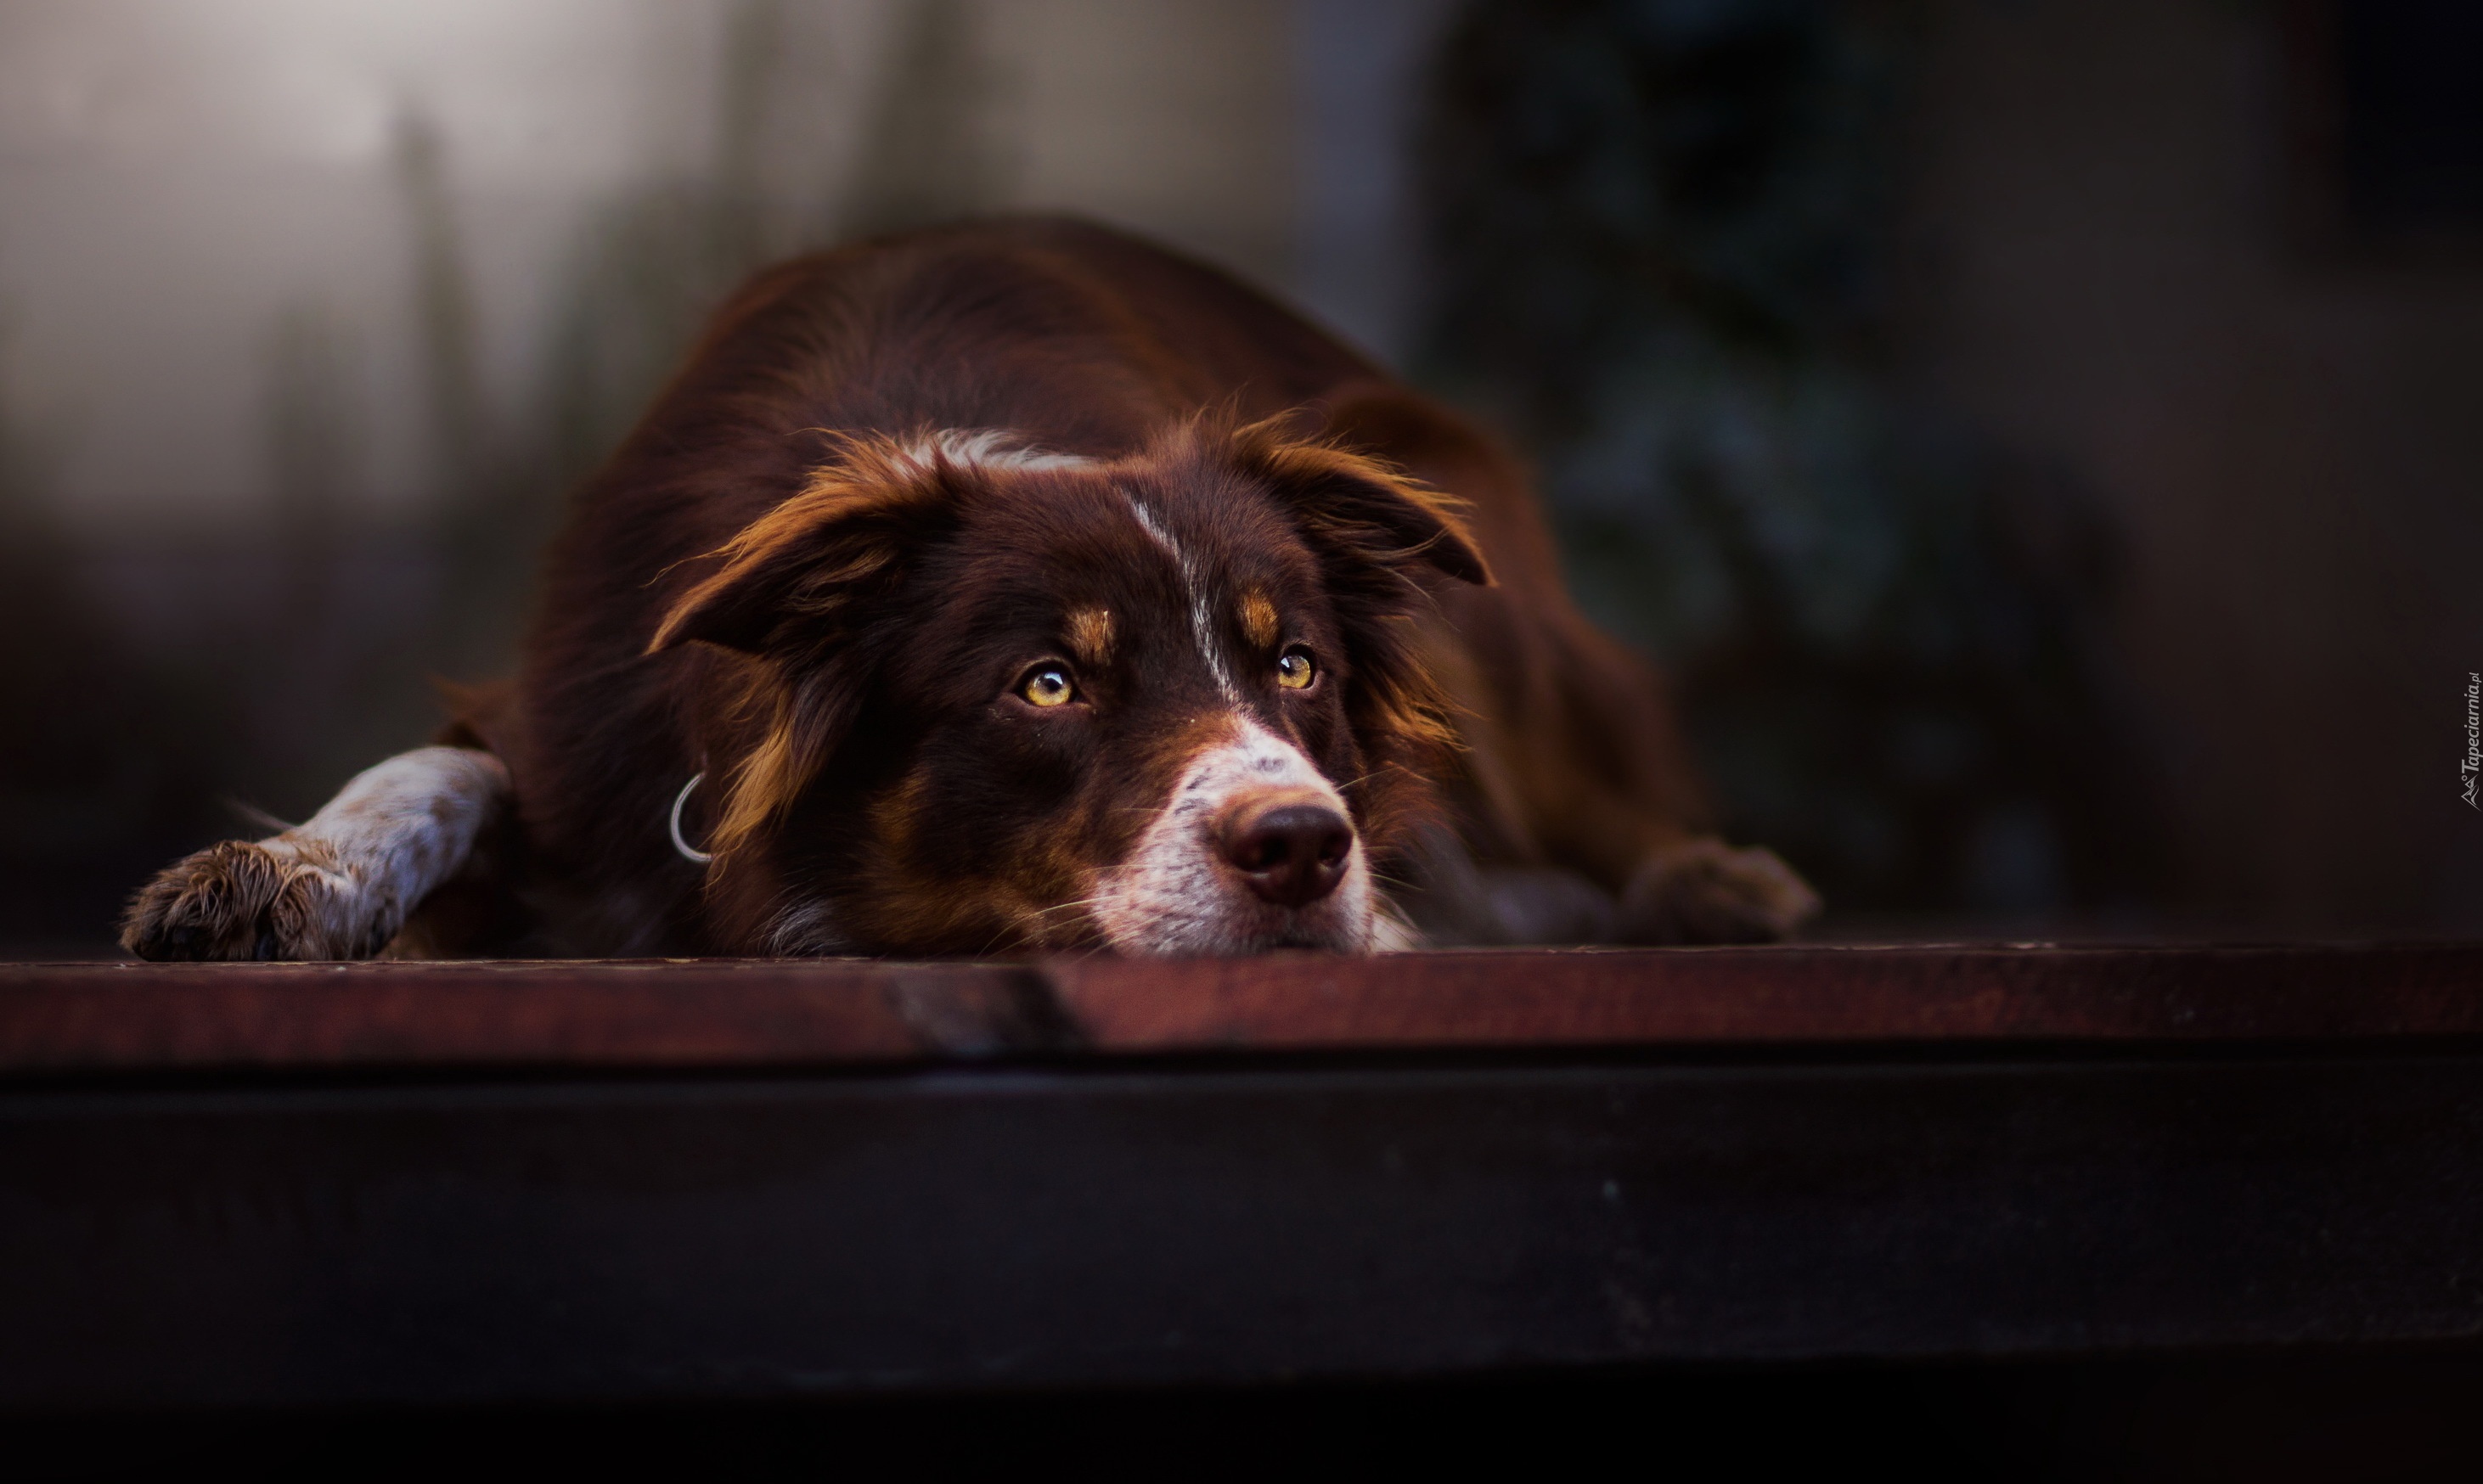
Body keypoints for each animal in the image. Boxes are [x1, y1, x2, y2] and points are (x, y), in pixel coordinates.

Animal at [121, 221, 1807, 968]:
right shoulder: (570, 712)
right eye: (1046, 684)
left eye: (1299, 669)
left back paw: (1700, 883)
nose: (1300, 851)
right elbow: (428, 774)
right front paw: (283, 876)